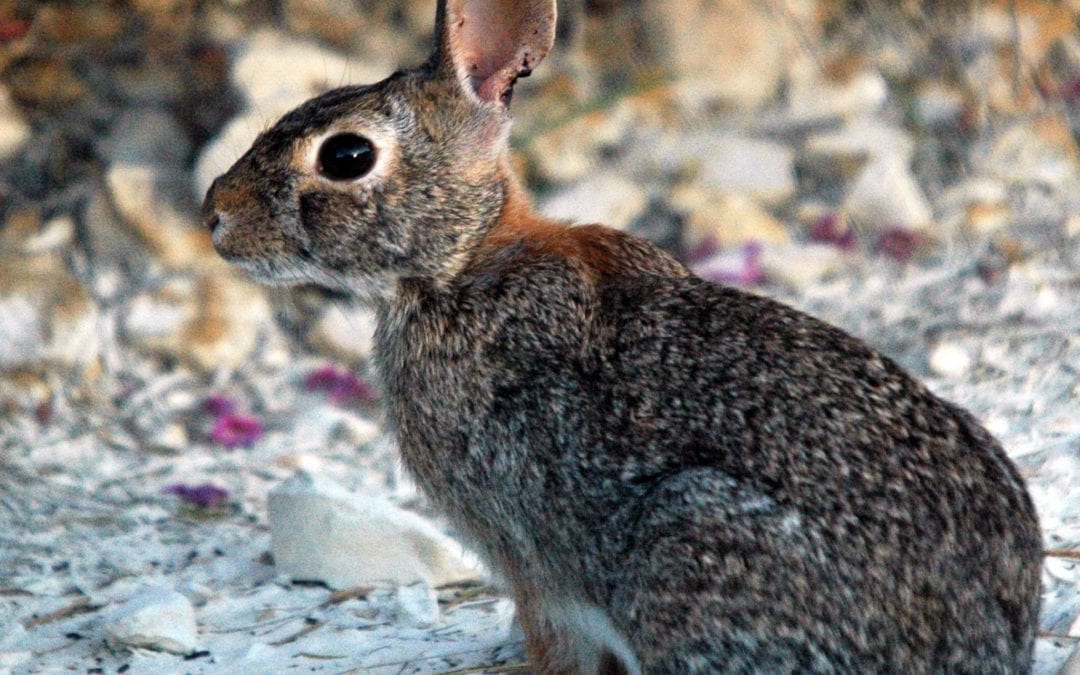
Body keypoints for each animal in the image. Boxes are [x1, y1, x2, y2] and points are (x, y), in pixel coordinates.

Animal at [202, 0, 1043, 672]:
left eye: (346, 155)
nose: (214, 215)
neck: (462, 263)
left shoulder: (533, 564)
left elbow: (555, 639)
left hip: (687, 549)